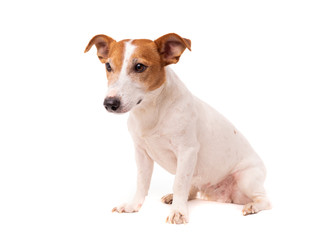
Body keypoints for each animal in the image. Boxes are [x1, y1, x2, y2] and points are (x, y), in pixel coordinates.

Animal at [84, 32, 270, 224]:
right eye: (108, 66)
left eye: (139, 67)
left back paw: (253, 206)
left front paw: (178, 212)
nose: (109, 103)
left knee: (265, 200)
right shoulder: (141, 153)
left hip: (246, 179)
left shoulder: (187, 151)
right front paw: (132, 206)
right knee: (192, 190)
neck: (151, 111)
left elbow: (179, 183)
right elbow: (142, 182)